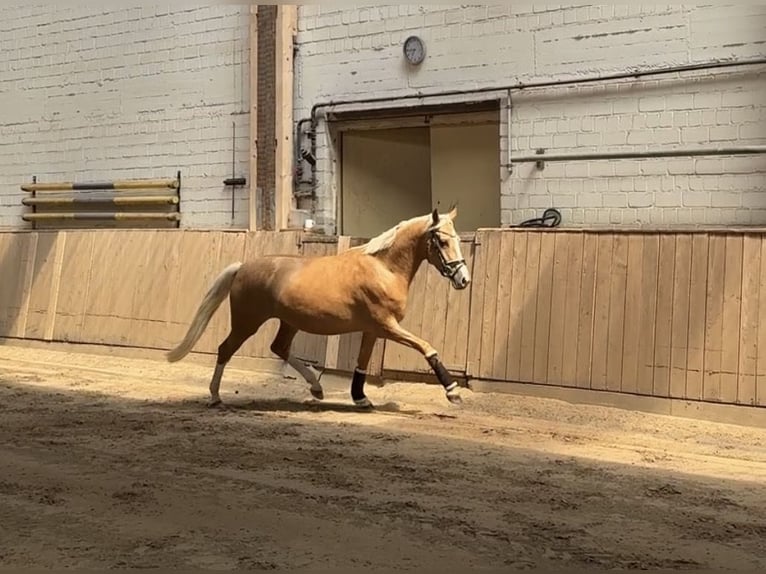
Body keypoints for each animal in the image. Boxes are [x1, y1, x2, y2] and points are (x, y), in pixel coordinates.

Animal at [165, 206, 471, 408]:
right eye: (442, 241)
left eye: (457, 239)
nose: (463, 279)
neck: (384, 268)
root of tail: (243, 267)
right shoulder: (387, 325)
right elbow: (427, 347)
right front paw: (453, 392)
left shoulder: (373, 329)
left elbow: (362, 363)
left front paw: (361, 398)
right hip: (247, 322)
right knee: (225, 349)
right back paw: (215, 396)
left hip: (288, 322)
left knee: (279, 348)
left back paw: (317, 388)